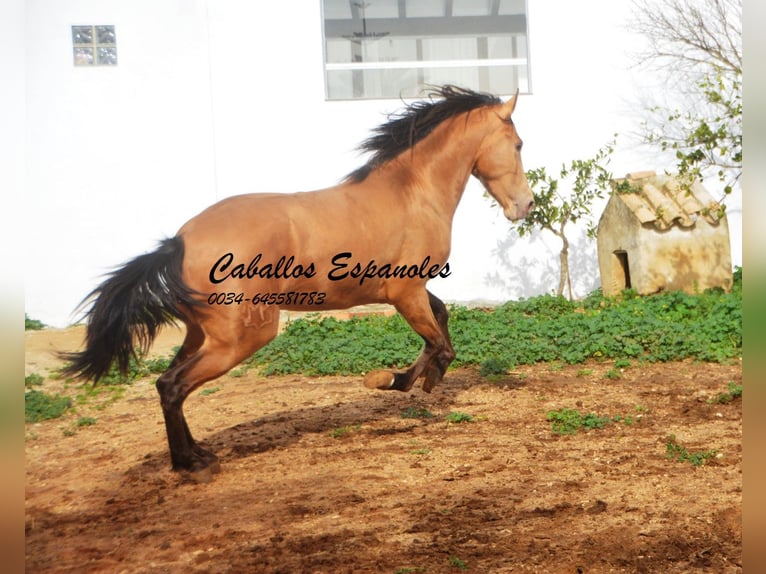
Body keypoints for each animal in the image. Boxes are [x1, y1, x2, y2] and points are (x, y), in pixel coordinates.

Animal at [63, 85, 536, 482]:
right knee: (176, 386)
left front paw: (430, 377)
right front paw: (391, 380)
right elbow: (436, 339)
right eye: (518, 145)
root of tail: (178, 243)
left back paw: (195, 453)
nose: (526, 206)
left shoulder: (407, 290)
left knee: (166, 383)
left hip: (200, 333)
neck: (411, 193)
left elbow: (442, 320)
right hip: (240, 338)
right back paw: (190, 465)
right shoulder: (405, 293)